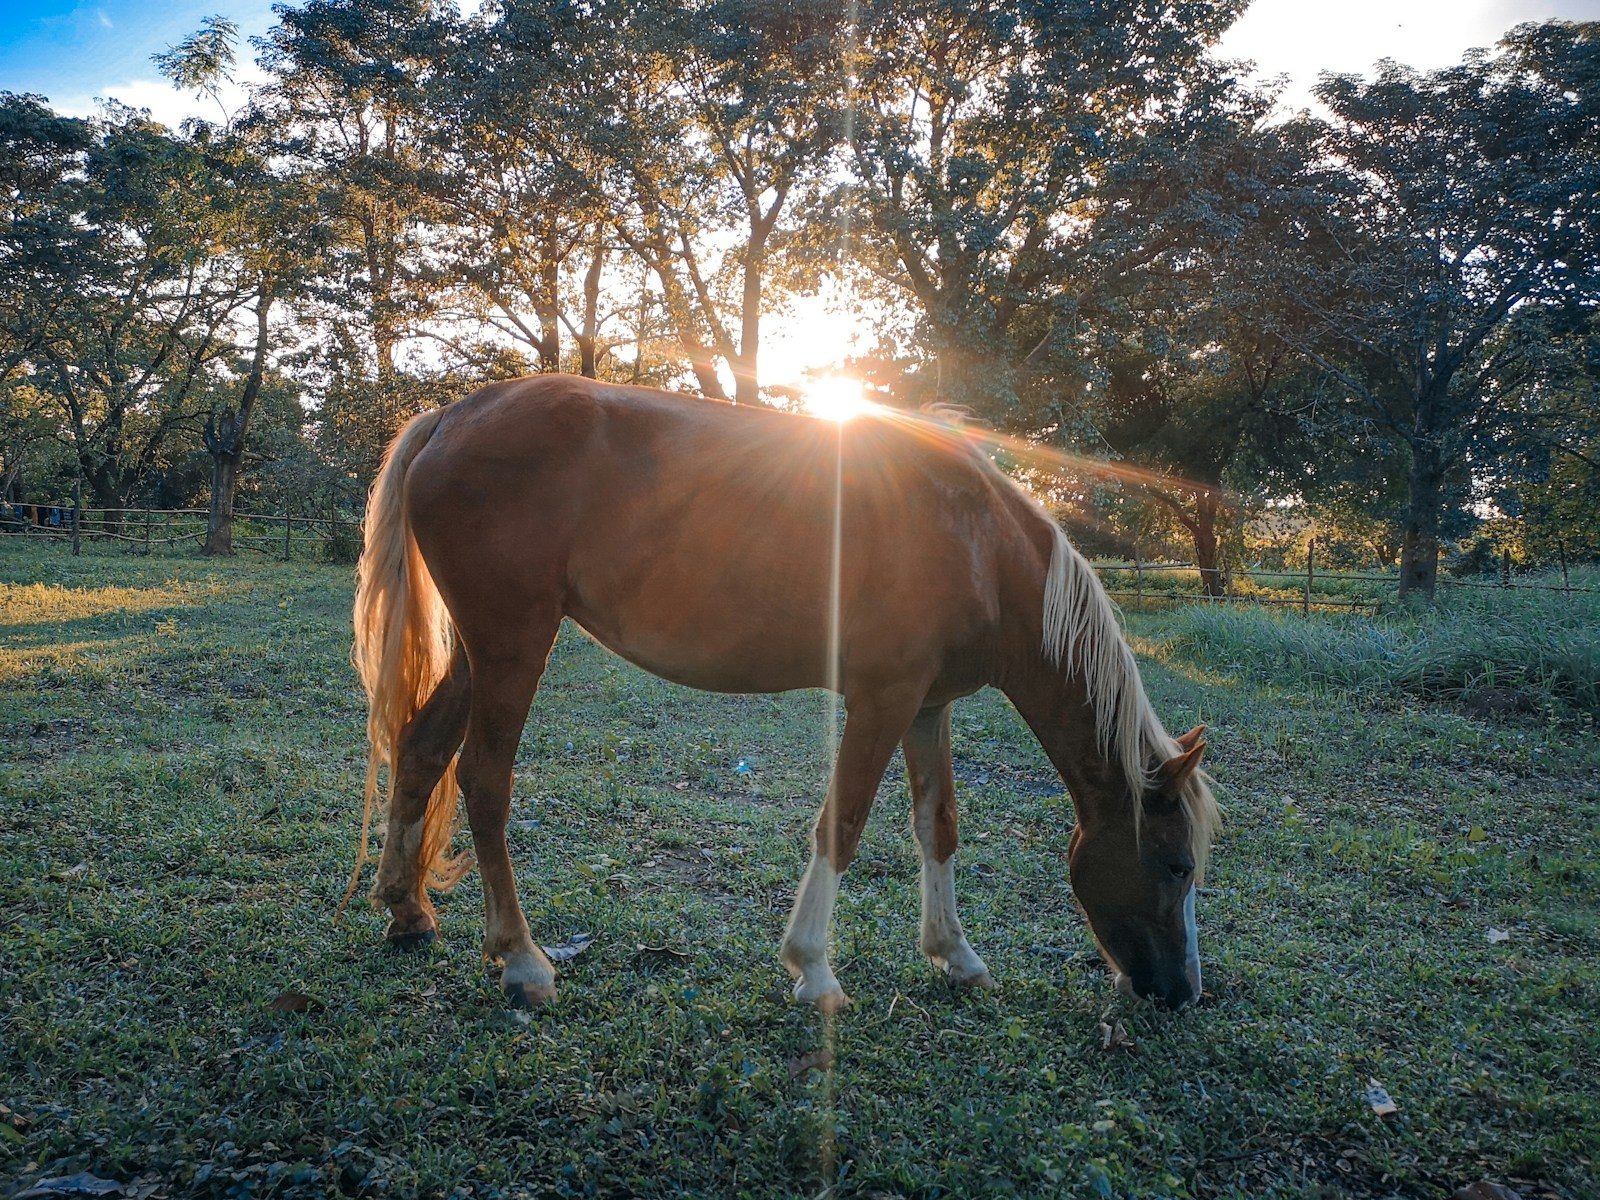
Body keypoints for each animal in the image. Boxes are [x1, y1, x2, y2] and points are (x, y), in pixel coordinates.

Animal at [349, 373, 1218, 1011]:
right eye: (1177, 866)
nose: (1180, 993)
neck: (976, 542)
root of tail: (455, 414)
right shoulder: (881, 700)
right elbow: (843, 823)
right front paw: (813, 969)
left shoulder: (927, 707)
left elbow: (936, 825)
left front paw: (955, 954)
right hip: (513, 647)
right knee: (484, 780)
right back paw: (522, 959)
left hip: (482, 652)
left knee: (423, 750)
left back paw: (406, 909)